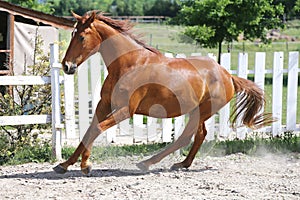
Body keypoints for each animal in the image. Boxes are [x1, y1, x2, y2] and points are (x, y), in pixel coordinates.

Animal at [53, 11, 272, 175]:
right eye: (72, 35)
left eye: (81, 37)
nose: (66, 66)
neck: (129, 64)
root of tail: (228, 76)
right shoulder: (104, 104)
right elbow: (88, 131)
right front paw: (64, 165)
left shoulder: (126, 110)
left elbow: (97, 129)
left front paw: (85, 165)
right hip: (197, 111)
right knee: (199, 134)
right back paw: (182, 164)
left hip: (204, 110)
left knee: (186, 137)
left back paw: (147, 163)